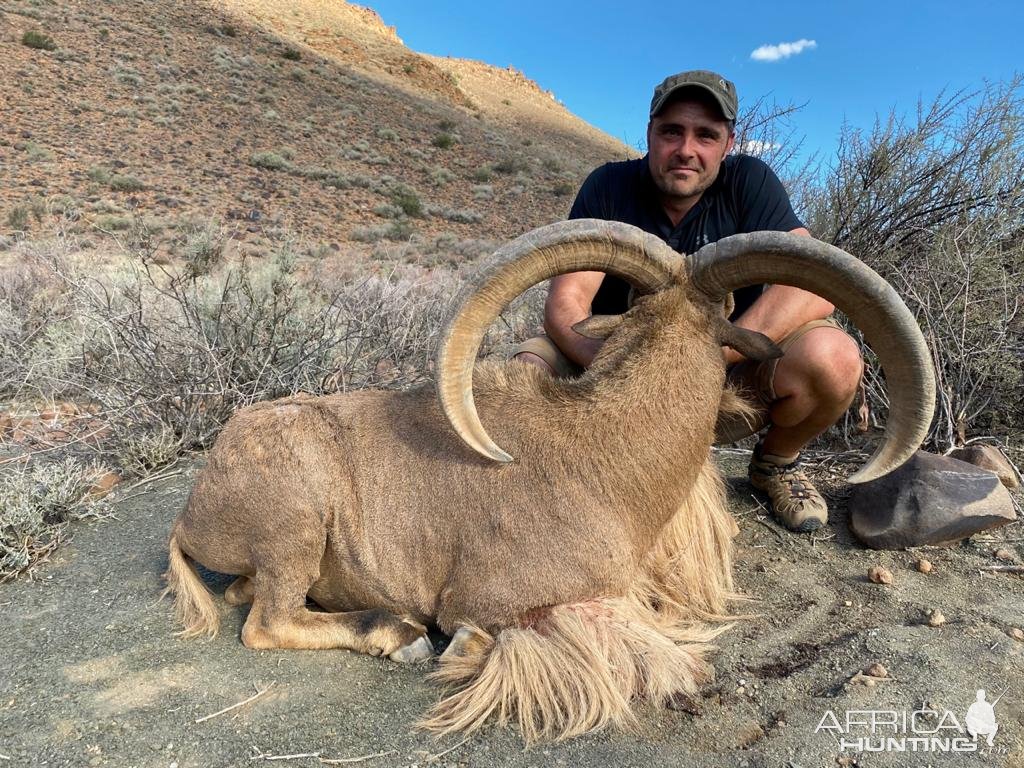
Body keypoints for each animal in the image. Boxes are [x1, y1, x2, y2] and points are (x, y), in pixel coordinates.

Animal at [161, 221, 937, 745]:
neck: (602, 452)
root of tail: (193, 509)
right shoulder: (501, 598)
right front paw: (459, 647)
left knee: (245, 595)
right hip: (295, 519)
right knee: (265, 622)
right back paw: (396, 632)